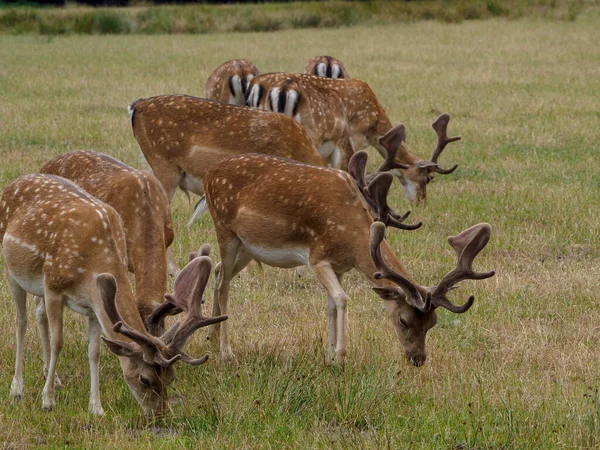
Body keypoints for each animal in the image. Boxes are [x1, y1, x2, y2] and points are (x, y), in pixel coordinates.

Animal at [0, 174, 227, 416]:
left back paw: (51, 378)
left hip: (37, 286)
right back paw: (17, 388)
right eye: (144, 379)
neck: (91, 265)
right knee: (21, 321)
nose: (160, 414)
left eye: (171, 378)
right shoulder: (54, 288)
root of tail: (17, 182)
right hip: (12, 270)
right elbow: (57, 342)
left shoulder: (93, 305)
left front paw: (96, 407)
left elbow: (95, 351)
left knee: (38, 313)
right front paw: (48, 401)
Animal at [202, 141, 492, 366]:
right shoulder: (317, 256)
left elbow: (331, 303)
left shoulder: (339, 266)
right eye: (403, 320)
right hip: (225, 229)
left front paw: (329, 356)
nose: (418, 359)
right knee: (223, 284)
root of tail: (209, 172)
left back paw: (212, 339)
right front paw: (341, 356)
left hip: (248, 247)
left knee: (217, 271)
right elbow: (342, 299)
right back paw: (226, 353)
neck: (351, 237)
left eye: (432, 322)